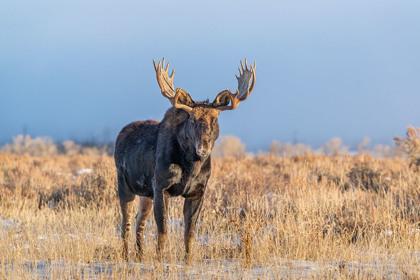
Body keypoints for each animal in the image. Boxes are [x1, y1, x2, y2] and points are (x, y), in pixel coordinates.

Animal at [115, 57, 256, 262]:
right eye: (192, 119)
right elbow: (163, 231)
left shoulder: (197, 192)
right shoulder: (161, 187)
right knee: (125, 223)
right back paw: (126, 257)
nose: (203, 148)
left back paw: (140, 256)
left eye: (215, 119)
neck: (191, 167)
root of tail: (120, 135)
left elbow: (189, 233)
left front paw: (188, 261)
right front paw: (159, 261)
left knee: (139, 221)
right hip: (125, 185)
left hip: (145, 193)